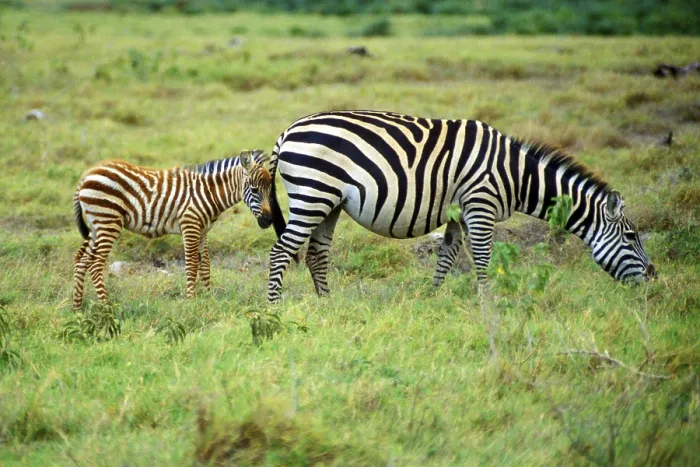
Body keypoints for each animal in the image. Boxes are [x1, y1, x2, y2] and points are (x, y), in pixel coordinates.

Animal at [72, 150, 277, 309]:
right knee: (95, 264)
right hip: (108, 221)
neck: (209, 193)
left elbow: (205, 265)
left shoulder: (203, 231)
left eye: (270, 190)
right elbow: (192, 265)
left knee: (81, 260)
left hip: (96, 225)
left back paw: (77, 307)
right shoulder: (190, 225)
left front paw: (208, 297)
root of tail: (87, 174)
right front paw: (191, 301)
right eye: (254, 189)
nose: (268, 220)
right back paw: (107, 306)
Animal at [266, 110, 656, 303]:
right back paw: (274, 305)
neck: (516, 176)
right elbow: (482, 258)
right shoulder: (481, 205)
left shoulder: (457, 213)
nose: (654, 278)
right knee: (280, 251)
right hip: (313, 193)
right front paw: (487, 303)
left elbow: (448, 256)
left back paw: (326, 304)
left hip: (329, 201)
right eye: (631, 235)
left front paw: (433, 297)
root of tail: (287, 131)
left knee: (316, 254)